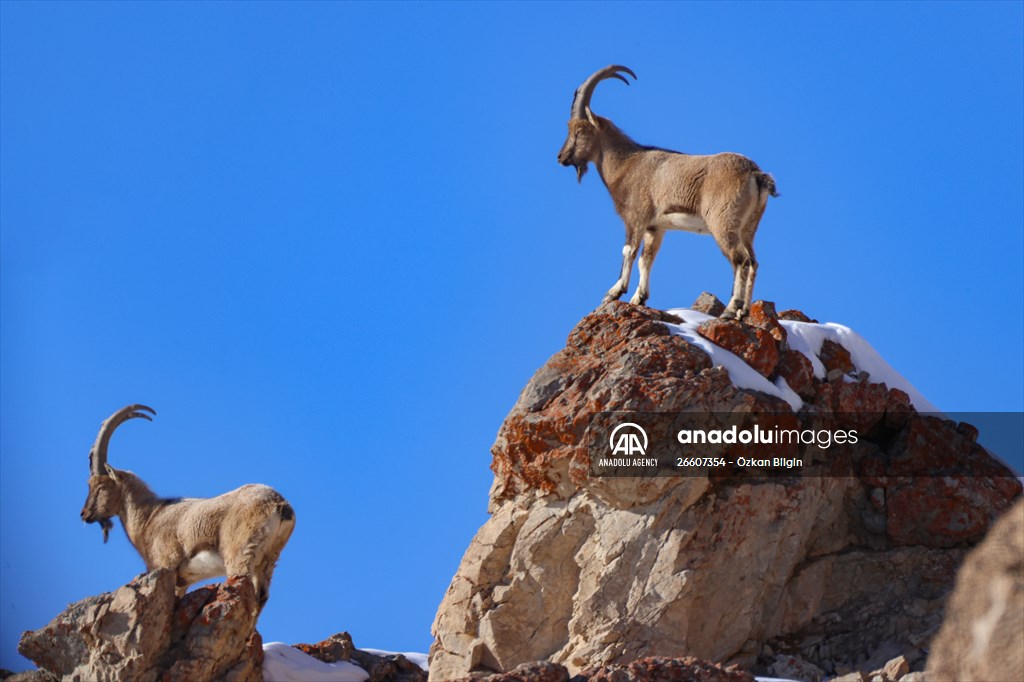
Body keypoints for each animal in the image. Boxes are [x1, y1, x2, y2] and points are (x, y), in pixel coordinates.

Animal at [80, 404, 295, 613]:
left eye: (100, 486)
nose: (84, 514)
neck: (150, 517)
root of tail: (280, 505)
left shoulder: (167, 565)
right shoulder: (183, 580)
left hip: (240, 554)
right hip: (268, 562)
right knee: (261, 598)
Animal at [557, 65, 778, 319]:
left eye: (579, 131)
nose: (561, 157)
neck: (627, 164)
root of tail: (756, 174)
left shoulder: (636, 218)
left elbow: (629, 251)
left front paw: (614, 292)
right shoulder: (656, 227)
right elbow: (646, 259)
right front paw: (639, 298)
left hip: (722, 223)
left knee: (740, 260)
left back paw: (730, 310)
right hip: (748, 228)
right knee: (753, 263)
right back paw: (744, 312)